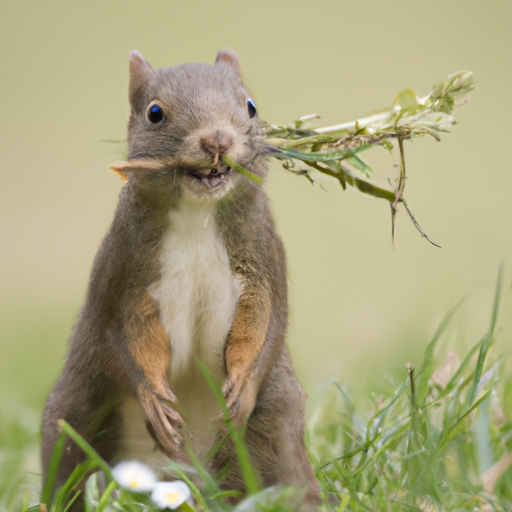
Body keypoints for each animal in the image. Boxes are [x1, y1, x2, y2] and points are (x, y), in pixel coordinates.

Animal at [41, 49, 320, 508]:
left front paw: (242, 390)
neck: (197, 212)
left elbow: (266, 324)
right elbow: (124, 338)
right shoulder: (122, 272)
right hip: (77, 406)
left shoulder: (264, 260)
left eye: (250, 106)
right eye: (155, 113)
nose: (217, 141)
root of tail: (190, 477)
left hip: (278, 418)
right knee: (66, 463)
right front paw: (152, 397)